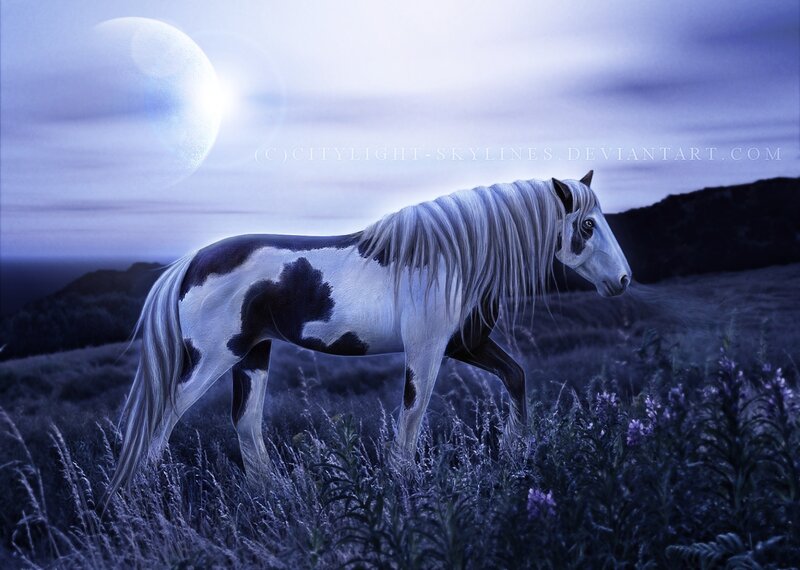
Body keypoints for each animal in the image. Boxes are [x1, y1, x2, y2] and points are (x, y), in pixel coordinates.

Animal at [107, 170, 631, 497]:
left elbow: (516, 377)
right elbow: (413, 412)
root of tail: (192, 262)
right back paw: (143, 497)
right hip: (214, 358)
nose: (623, 280)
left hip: (252, 355)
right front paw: (404, 479)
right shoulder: (427, 349)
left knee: (246, 423)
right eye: (588, 224)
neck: (453, 258)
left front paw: (517, 450)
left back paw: (273, 494)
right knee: (163, 418)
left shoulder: (465, 344)